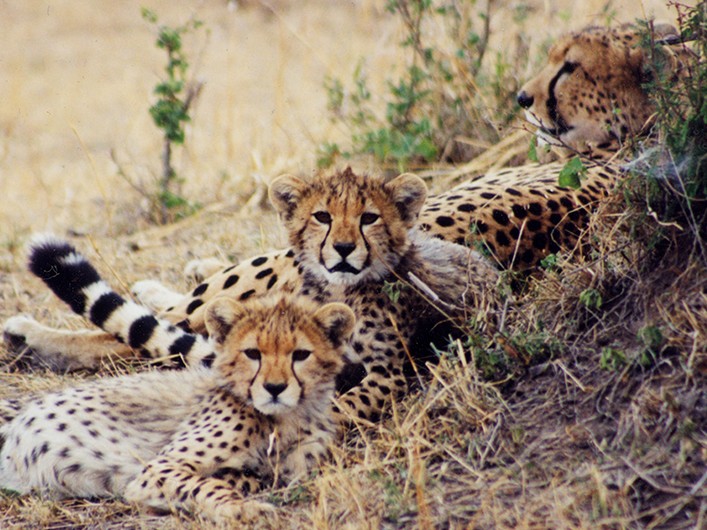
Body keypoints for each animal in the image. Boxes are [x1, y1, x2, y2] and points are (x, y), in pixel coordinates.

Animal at [0, 241, 354, 520]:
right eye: (253, 353)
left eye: (301, 355)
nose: (275, 388)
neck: (286, 420)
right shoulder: (156, 469)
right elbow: (205, 484)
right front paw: (245, 509)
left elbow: (247, 477)